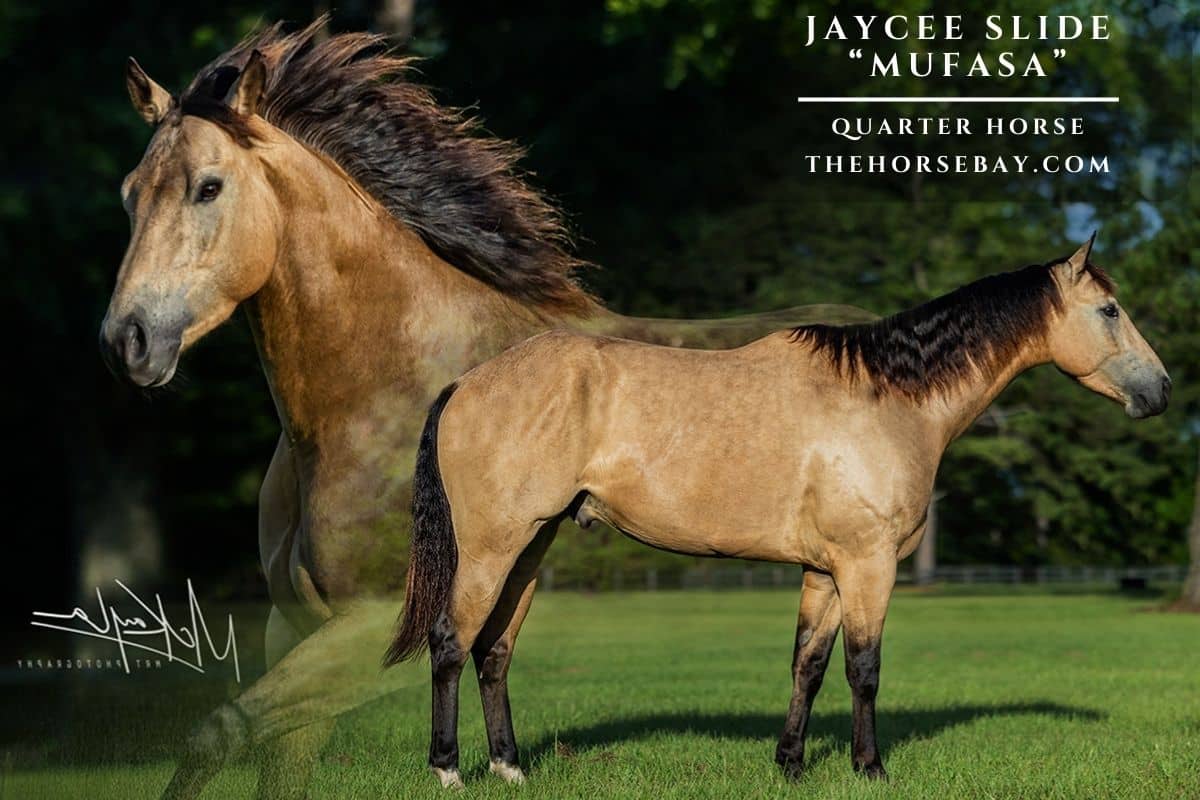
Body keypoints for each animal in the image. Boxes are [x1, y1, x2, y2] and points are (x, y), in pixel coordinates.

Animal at [98, 20, 873, 800]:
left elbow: (220, 728)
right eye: (130, 196)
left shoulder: (371, 625)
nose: (125, 340)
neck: (387, 390)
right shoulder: (291, 624)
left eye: (209, 187)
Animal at [385, 236, 1170, 787]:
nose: (1160, 391)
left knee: (495, 650)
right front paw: (869, 768)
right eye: (1109, 310)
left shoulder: (825, 570)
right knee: (452, 642)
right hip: (492, 548)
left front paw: (790, 763)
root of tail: (467, 384)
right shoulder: (867, 564)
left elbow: (808, 664)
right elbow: (863, 668)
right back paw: (448, 769)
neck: (889, 398)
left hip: (532, 545)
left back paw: (511, 768)